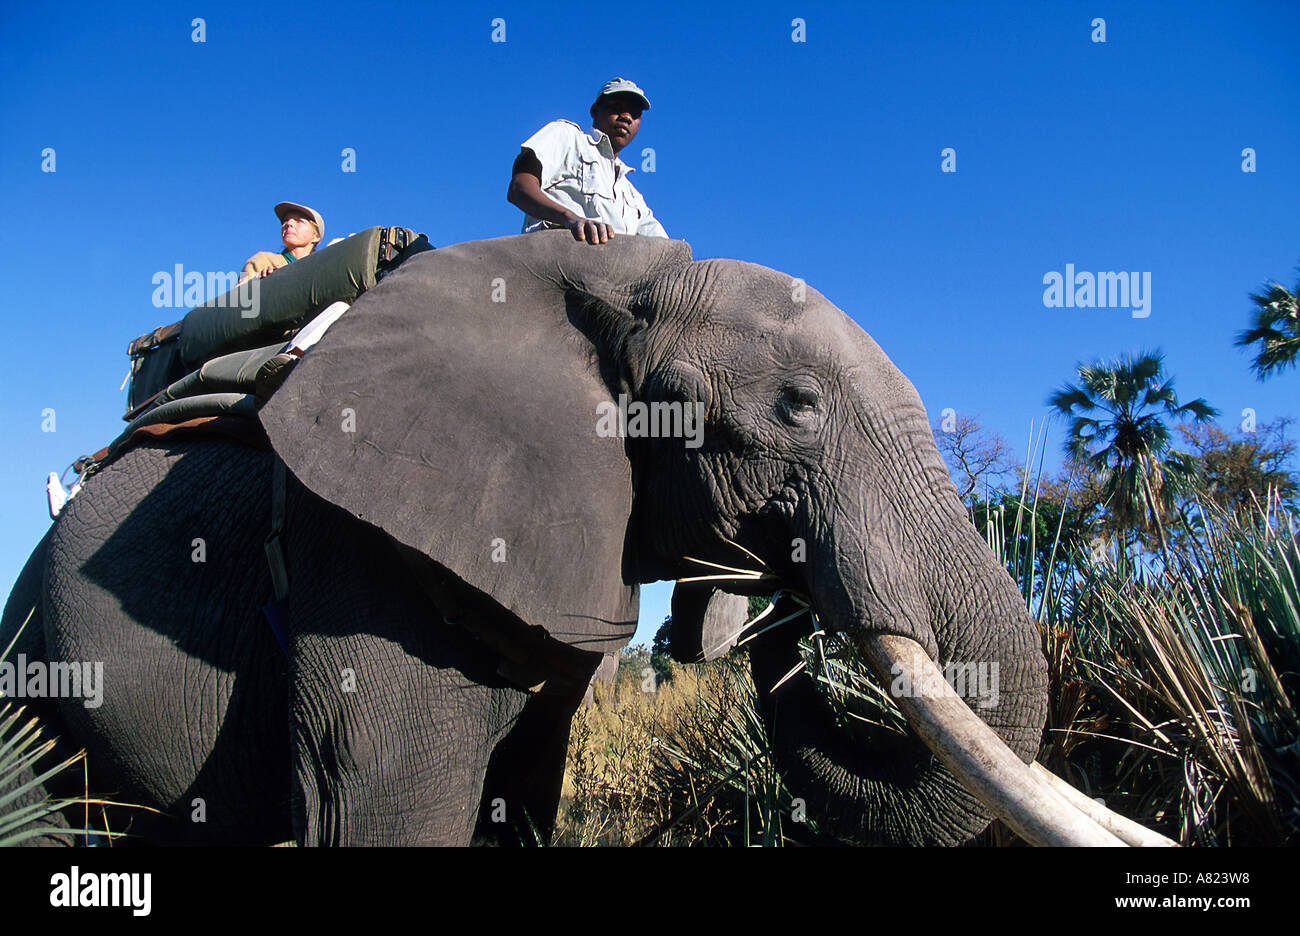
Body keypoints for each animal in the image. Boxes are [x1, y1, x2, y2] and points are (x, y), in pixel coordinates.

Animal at [0, 230, 1159, 842]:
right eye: (795, 410)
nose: (772, 582)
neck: (607, 282)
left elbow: (524, 793)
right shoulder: (353, 550)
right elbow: (381, 805)